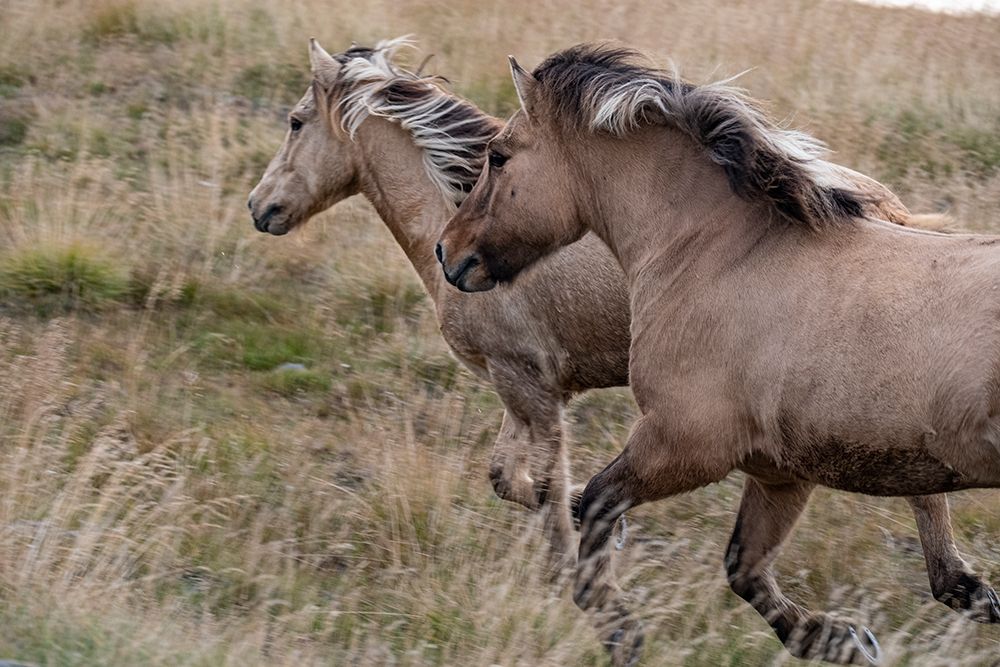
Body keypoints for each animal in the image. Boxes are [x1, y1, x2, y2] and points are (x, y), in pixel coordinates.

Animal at [436, 43, 999, 665]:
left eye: (498, 156)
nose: (447, 252)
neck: (715, 253)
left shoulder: (684, 446)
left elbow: (598, 506)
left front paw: (620, 630)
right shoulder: (781, 472)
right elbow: (744, 569)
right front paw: (841, 639)